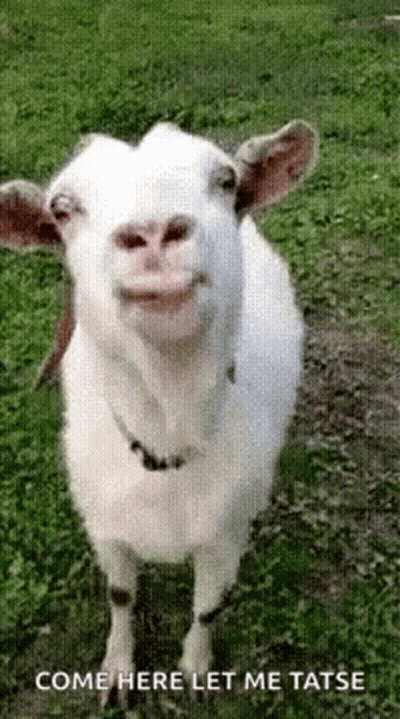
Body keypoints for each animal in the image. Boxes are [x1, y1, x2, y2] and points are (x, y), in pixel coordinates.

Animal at [0, 121, 317, 710]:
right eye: (62, 208)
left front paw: (194, 670)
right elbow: (121, 596)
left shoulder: (225, 535)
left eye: (225, 180)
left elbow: (208, 607)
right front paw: (118, 672)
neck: (167, 435)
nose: (152, 232)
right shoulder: (105, 526)